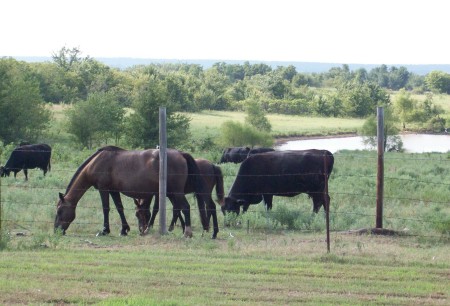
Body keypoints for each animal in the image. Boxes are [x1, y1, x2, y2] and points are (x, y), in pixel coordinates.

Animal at [55, 146, 210, 237]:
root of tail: (181, 153)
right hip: (172, 193)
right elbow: (119, 208)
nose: (56, 230)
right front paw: (124, 230)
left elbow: (106, 208)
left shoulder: (104, 189)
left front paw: (104, 230)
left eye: (59, 211)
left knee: (185, 207)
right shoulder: (113, 190)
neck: (97, 162)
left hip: (176, 192)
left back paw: (187, 232)